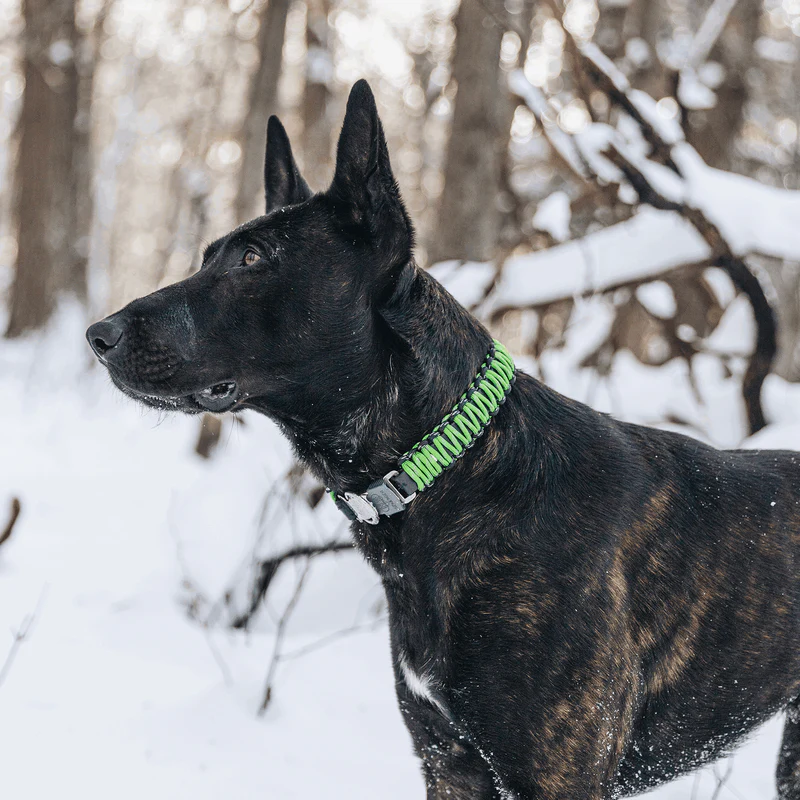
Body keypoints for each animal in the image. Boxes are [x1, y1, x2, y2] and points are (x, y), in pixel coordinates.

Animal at [87, 80, 800, 799]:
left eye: (253, 259)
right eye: (212, 255)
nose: (98, 334)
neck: (452, 472)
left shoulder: (554, 775)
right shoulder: (447, 760)